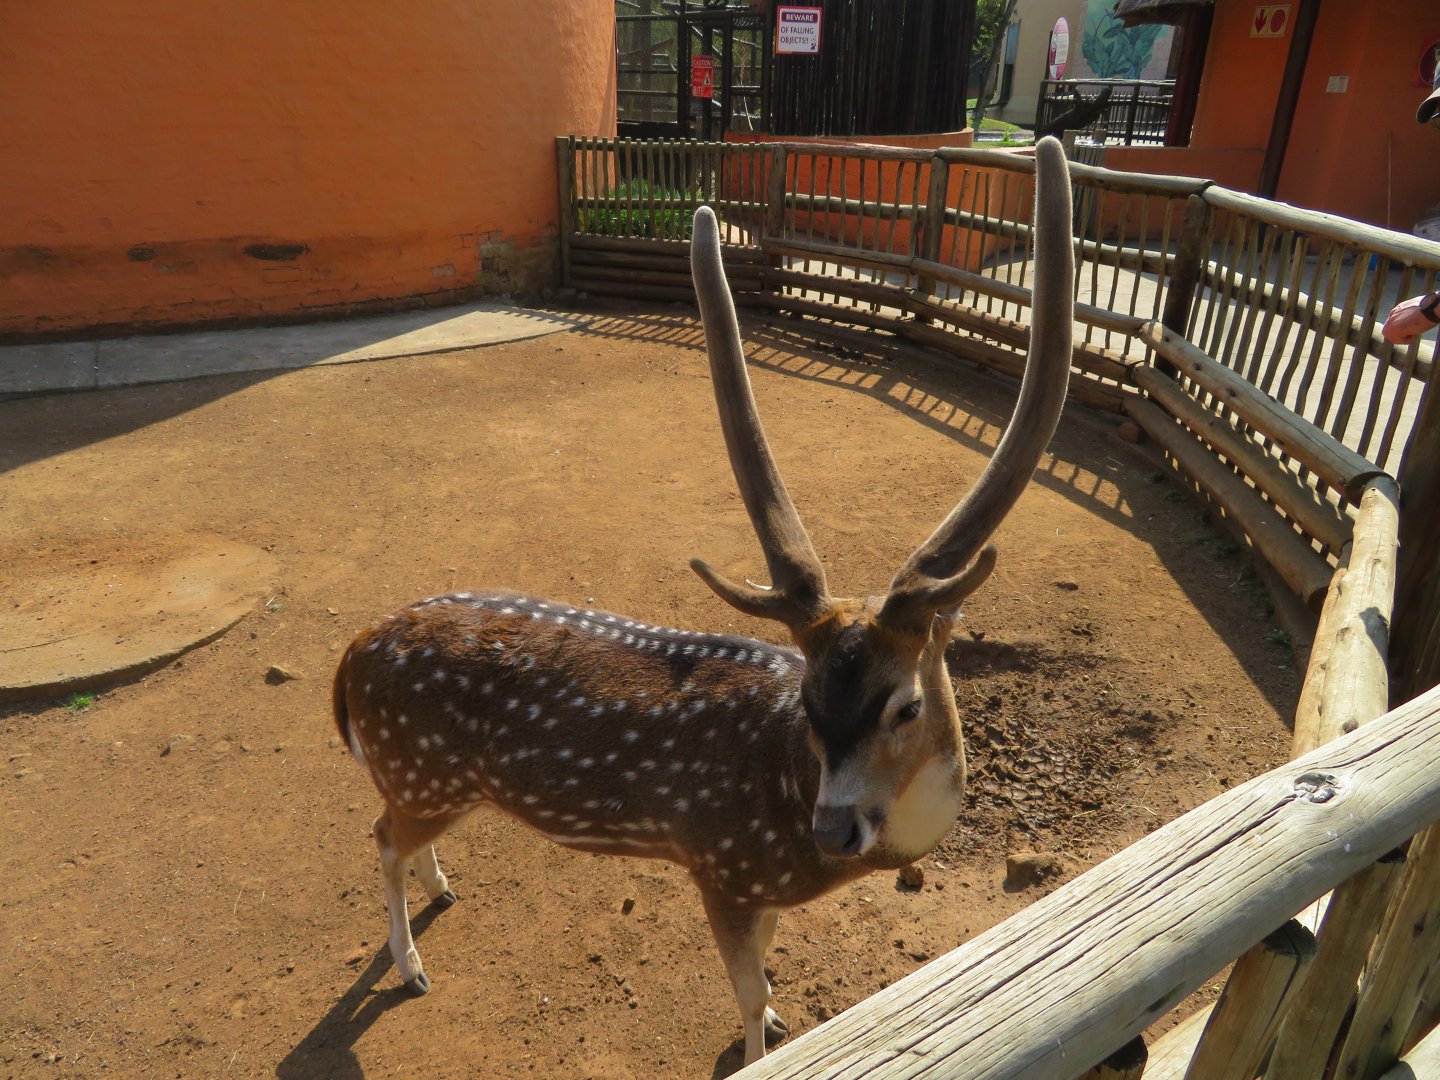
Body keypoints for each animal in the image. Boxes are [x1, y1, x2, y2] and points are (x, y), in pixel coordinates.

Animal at [333, 136, 1074, 1067]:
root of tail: (351, 656)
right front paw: (767, 1044)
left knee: (401, 834)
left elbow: (768, 975)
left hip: (437, 782)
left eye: (906, 705)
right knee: (378, 837)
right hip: (419, 766)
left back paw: (443, 890)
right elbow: (748, 992)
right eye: (808, 700)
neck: (792, 824)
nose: (834, 829)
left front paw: (784, 1019)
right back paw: (410, 967)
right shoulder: (721, 866)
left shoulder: (754, 884)